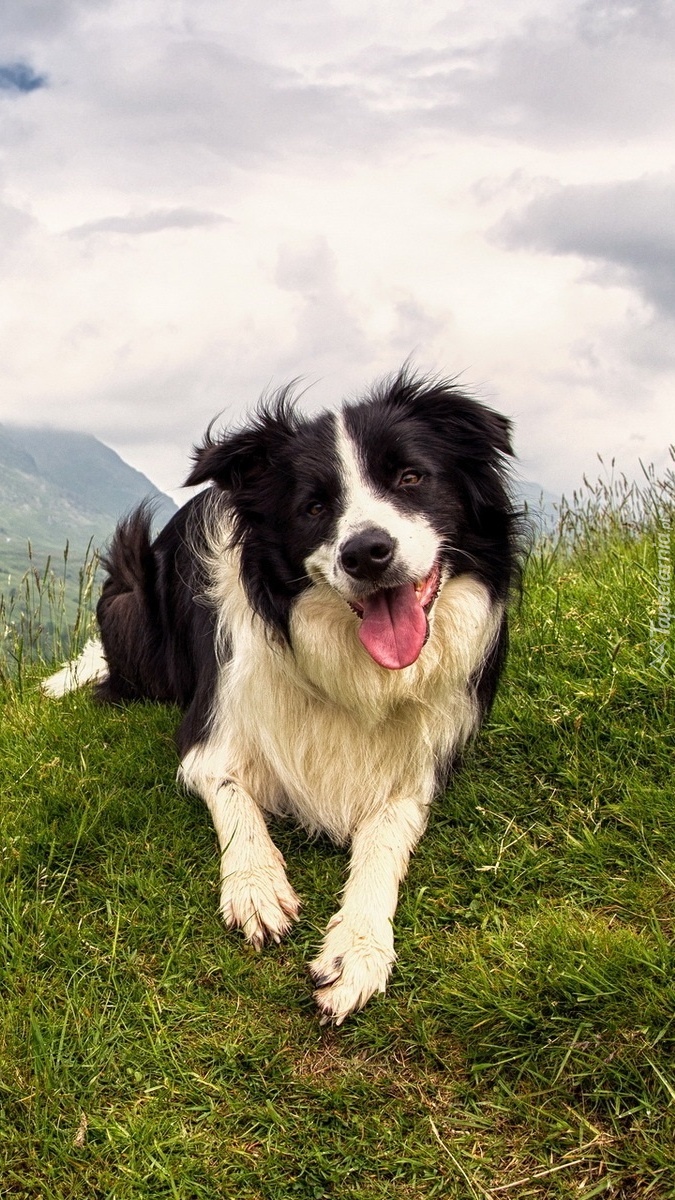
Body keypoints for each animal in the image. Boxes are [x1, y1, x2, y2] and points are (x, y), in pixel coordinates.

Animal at [45, 367, 521, 1022]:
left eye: (411, 477)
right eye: (314, 506)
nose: (366, 552)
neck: (351, 666)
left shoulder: (420, 766)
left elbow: (384, 840)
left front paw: (358, 946)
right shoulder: (210, 735)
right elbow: (234, 800)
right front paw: (256, 886)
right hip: (129, 591)